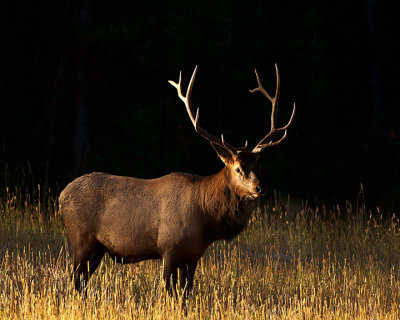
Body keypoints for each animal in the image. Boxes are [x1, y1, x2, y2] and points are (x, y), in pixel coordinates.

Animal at [61, 64, 296, 292]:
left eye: (259, 166)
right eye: (238, 168)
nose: (260, 187)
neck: (206, 218)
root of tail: (61, 195)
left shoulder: (193, 256)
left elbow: (186, 291)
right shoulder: (169, 248)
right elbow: (169, 290)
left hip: (97, 248)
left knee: (82, 283)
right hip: (81, 240)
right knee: (75, 281)